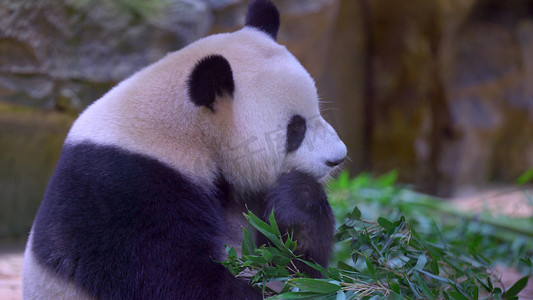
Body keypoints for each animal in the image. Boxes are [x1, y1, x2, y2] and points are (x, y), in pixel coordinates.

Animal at [21, 1, 344, 298]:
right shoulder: (124, 190)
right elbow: (173, 278)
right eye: (296, 128)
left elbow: (300, 267)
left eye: (317, 111)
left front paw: (296, 200)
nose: (337, 159)